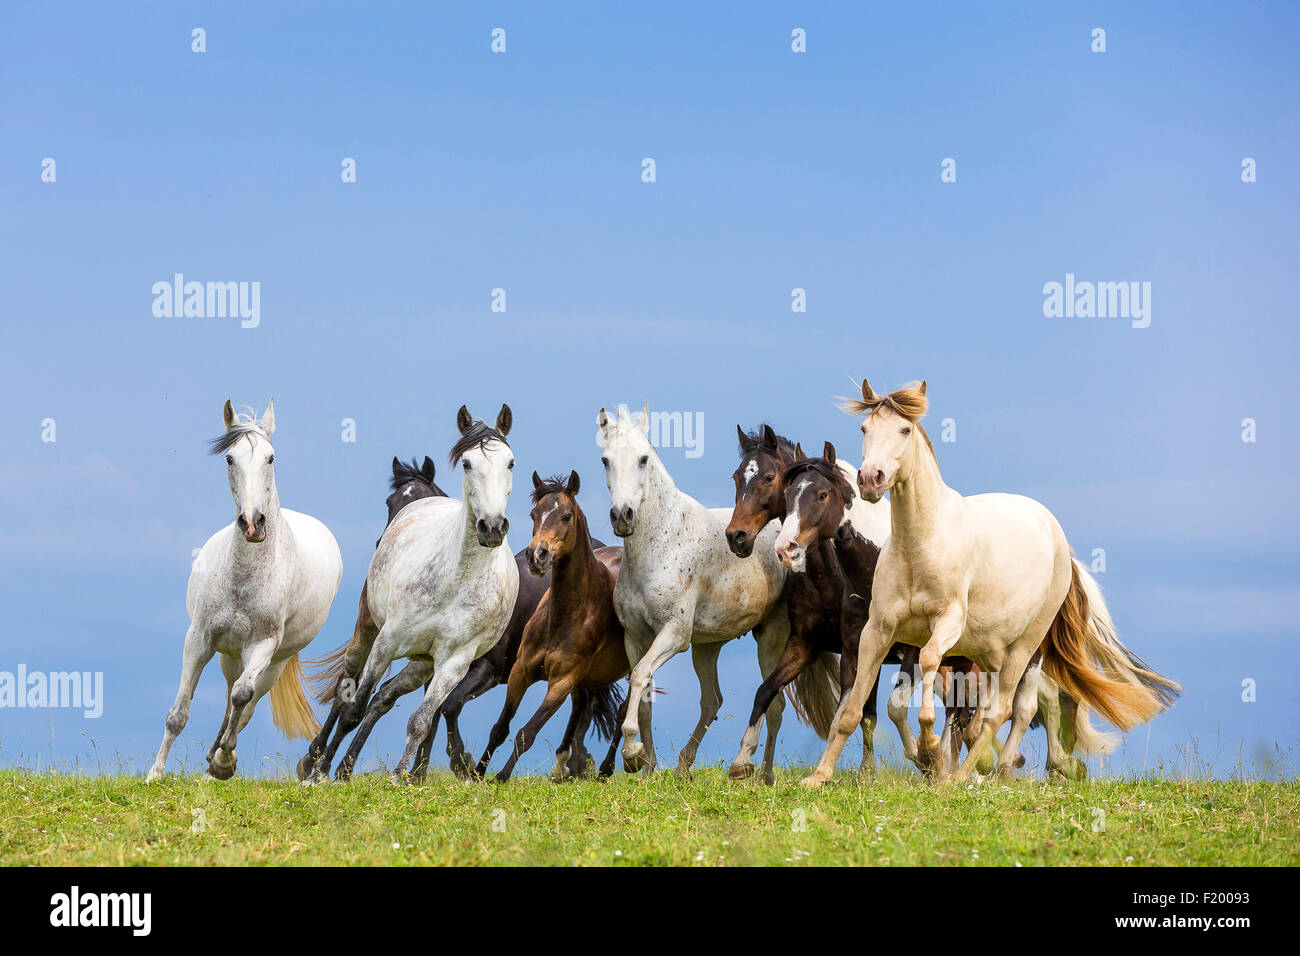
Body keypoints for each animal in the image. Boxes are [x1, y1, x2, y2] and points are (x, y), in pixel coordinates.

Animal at [147, 400, 343, 780]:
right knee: (227, 697)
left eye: (270, 457)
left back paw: (220, 760)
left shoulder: (263, 646)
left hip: (273, 662)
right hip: (228, 654)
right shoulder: (199, 640)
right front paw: (155, 774)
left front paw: (225, 760)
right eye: (229, 458)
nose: (253, 523)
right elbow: (178, 714)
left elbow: (243, 697)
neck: (244, 577)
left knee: (245, 702)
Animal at [301, 403, 520, 785]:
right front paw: (318, 773)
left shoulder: (453, 663)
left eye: (510, 463)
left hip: (422, 664)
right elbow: (353, 708)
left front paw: (402, 776)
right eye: (467, 463)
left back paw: (345, 767)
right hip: (367, 630)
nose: (492, 527)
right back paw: (317, 761)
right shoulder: (387, 641)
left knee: (385, 698)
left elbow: (421, 721)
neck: (457, 578)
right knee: (348, 690)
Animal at [475, 473, 626, 785]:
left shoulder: (561, 681)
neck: (563, 616)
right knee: (582, 705)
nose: (537, 556)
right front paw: (476, 772)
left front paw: (501, 776)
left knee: (624, 712)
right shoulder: (521, 671)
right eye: (534, 514)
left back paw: (605, 768)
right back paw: (562, 767)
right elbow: (500, 728)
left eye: (566, 516)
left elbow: (527, 732)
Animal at [598, 403, 821, 785]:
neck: (661, 545)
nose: (622, 516)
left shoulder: (673, 636)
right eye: (605, 460)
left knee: (773, 703)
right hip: (707, 647)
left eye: (643, 458)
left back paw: (756, 772)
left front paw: (631, 753)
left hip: (770, 638)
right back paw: (688, 766)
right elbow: (643, 695)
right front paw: (647, 764)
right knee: (712, 701)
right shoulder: (635, 637)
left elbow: (640, 677)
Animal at [795, 377, 1185, 790]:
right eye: (864, 428)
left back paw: (968, 775)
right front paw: (819, 777)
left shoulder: (943, 627)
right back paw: (982, 770)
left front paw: (930, 753)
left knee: (1008, 709)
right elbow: (852, 711)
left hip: (1027, 648)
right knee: (992, 712)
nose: (872, 479)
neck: (920, 543)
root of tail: (1056, 535)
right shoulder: (876, 631)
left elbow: (929, 682)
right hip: (989, 650)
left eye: (904, 430)